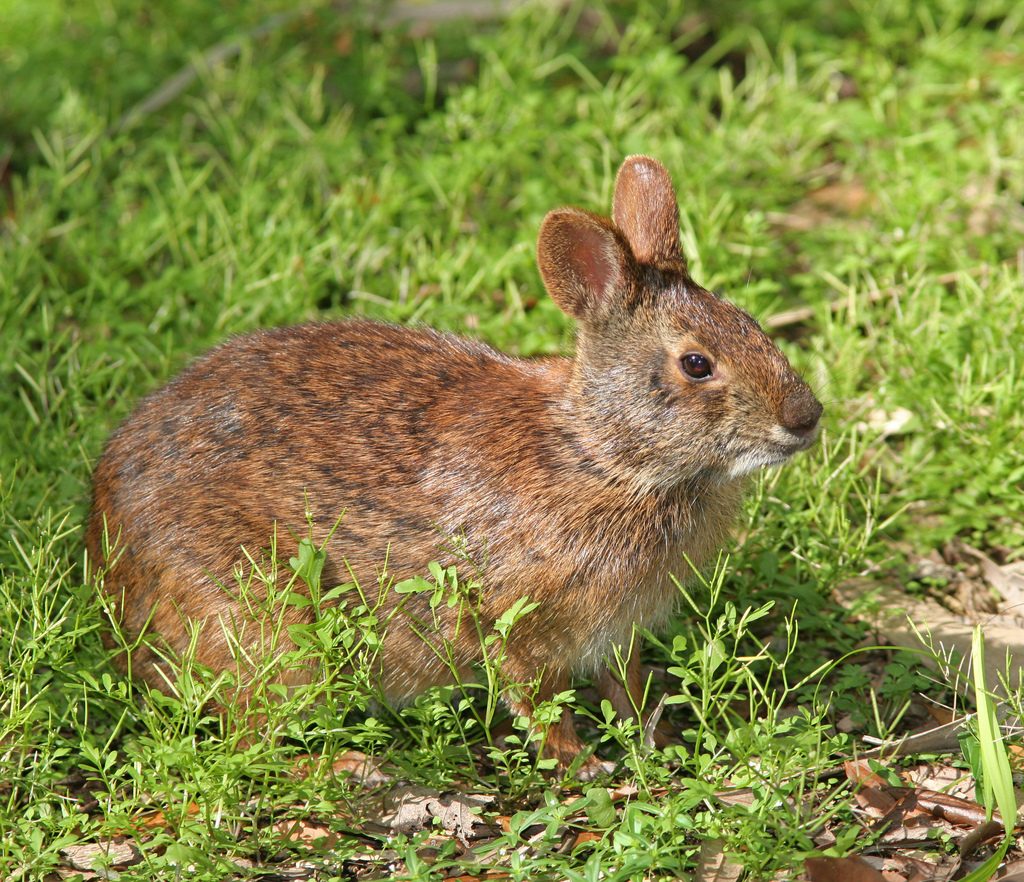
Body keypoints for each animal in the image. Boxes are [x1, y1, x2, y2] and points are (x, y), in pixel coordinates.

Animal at [86, 155, 822, 778]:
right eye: (696, 364)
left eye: (750, 321)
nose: (806, 417)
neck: (602, 455)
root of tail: (110, 577)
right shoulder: (512, 618)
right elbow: (539, 698)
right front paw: (580, 765)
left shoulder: (616, 632)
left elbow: (629, 688)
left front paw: (661, 743)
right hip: (267, 625)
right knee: (252, 736)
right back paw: (349, 767)